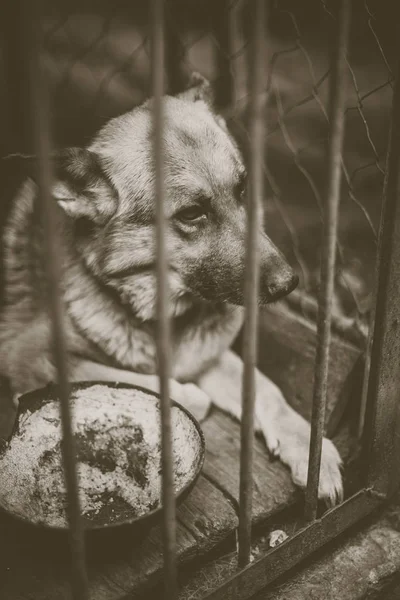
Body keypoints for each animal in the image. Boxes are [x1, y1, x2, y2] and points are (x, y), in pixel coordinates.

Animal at [0, 72, 342, 504]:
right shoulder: (28, 355)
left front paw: (311, 452)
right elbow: (162, 387)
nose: (288, 284)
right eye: (192, 214)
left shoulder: (208, 356)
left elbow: (268, 391)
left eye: (243, 190)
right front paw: (190, 394)